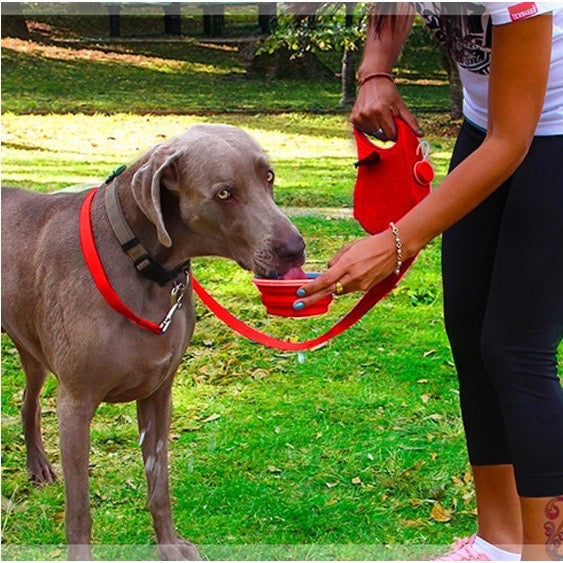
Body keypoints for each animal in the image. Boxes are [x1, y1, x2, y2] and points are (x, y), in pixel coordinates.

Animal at [2, 125, 306, 560]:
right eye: (224, 193)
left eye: (269, 177)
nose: (295, 248)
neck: (142, 262)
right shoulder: (76, 402)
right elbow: (79, 511)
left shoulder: (159, 392)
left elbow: (159, 484)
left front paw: (171, 545)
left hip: (32, 348)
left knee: (28, 401)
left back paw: (38, 466)